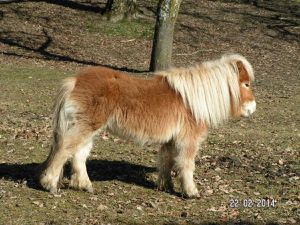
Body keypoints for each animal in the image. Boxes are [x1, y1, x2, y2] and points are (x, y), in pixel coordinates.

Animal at [39, 54, 255, 197]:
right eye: (245, 84)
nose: (252, 108)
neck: (194, 100)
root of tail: (74, 80)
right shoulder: (188, 140)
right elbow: (186, 165)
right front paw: (191, 192)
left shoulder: (171, 140)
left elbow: (167, 162)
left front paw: (166, 187)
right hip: (86, 127)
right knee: (65, 150)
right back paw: (50, 185)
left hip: (89, 128)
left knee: (78, 155)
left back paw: (85, 186)